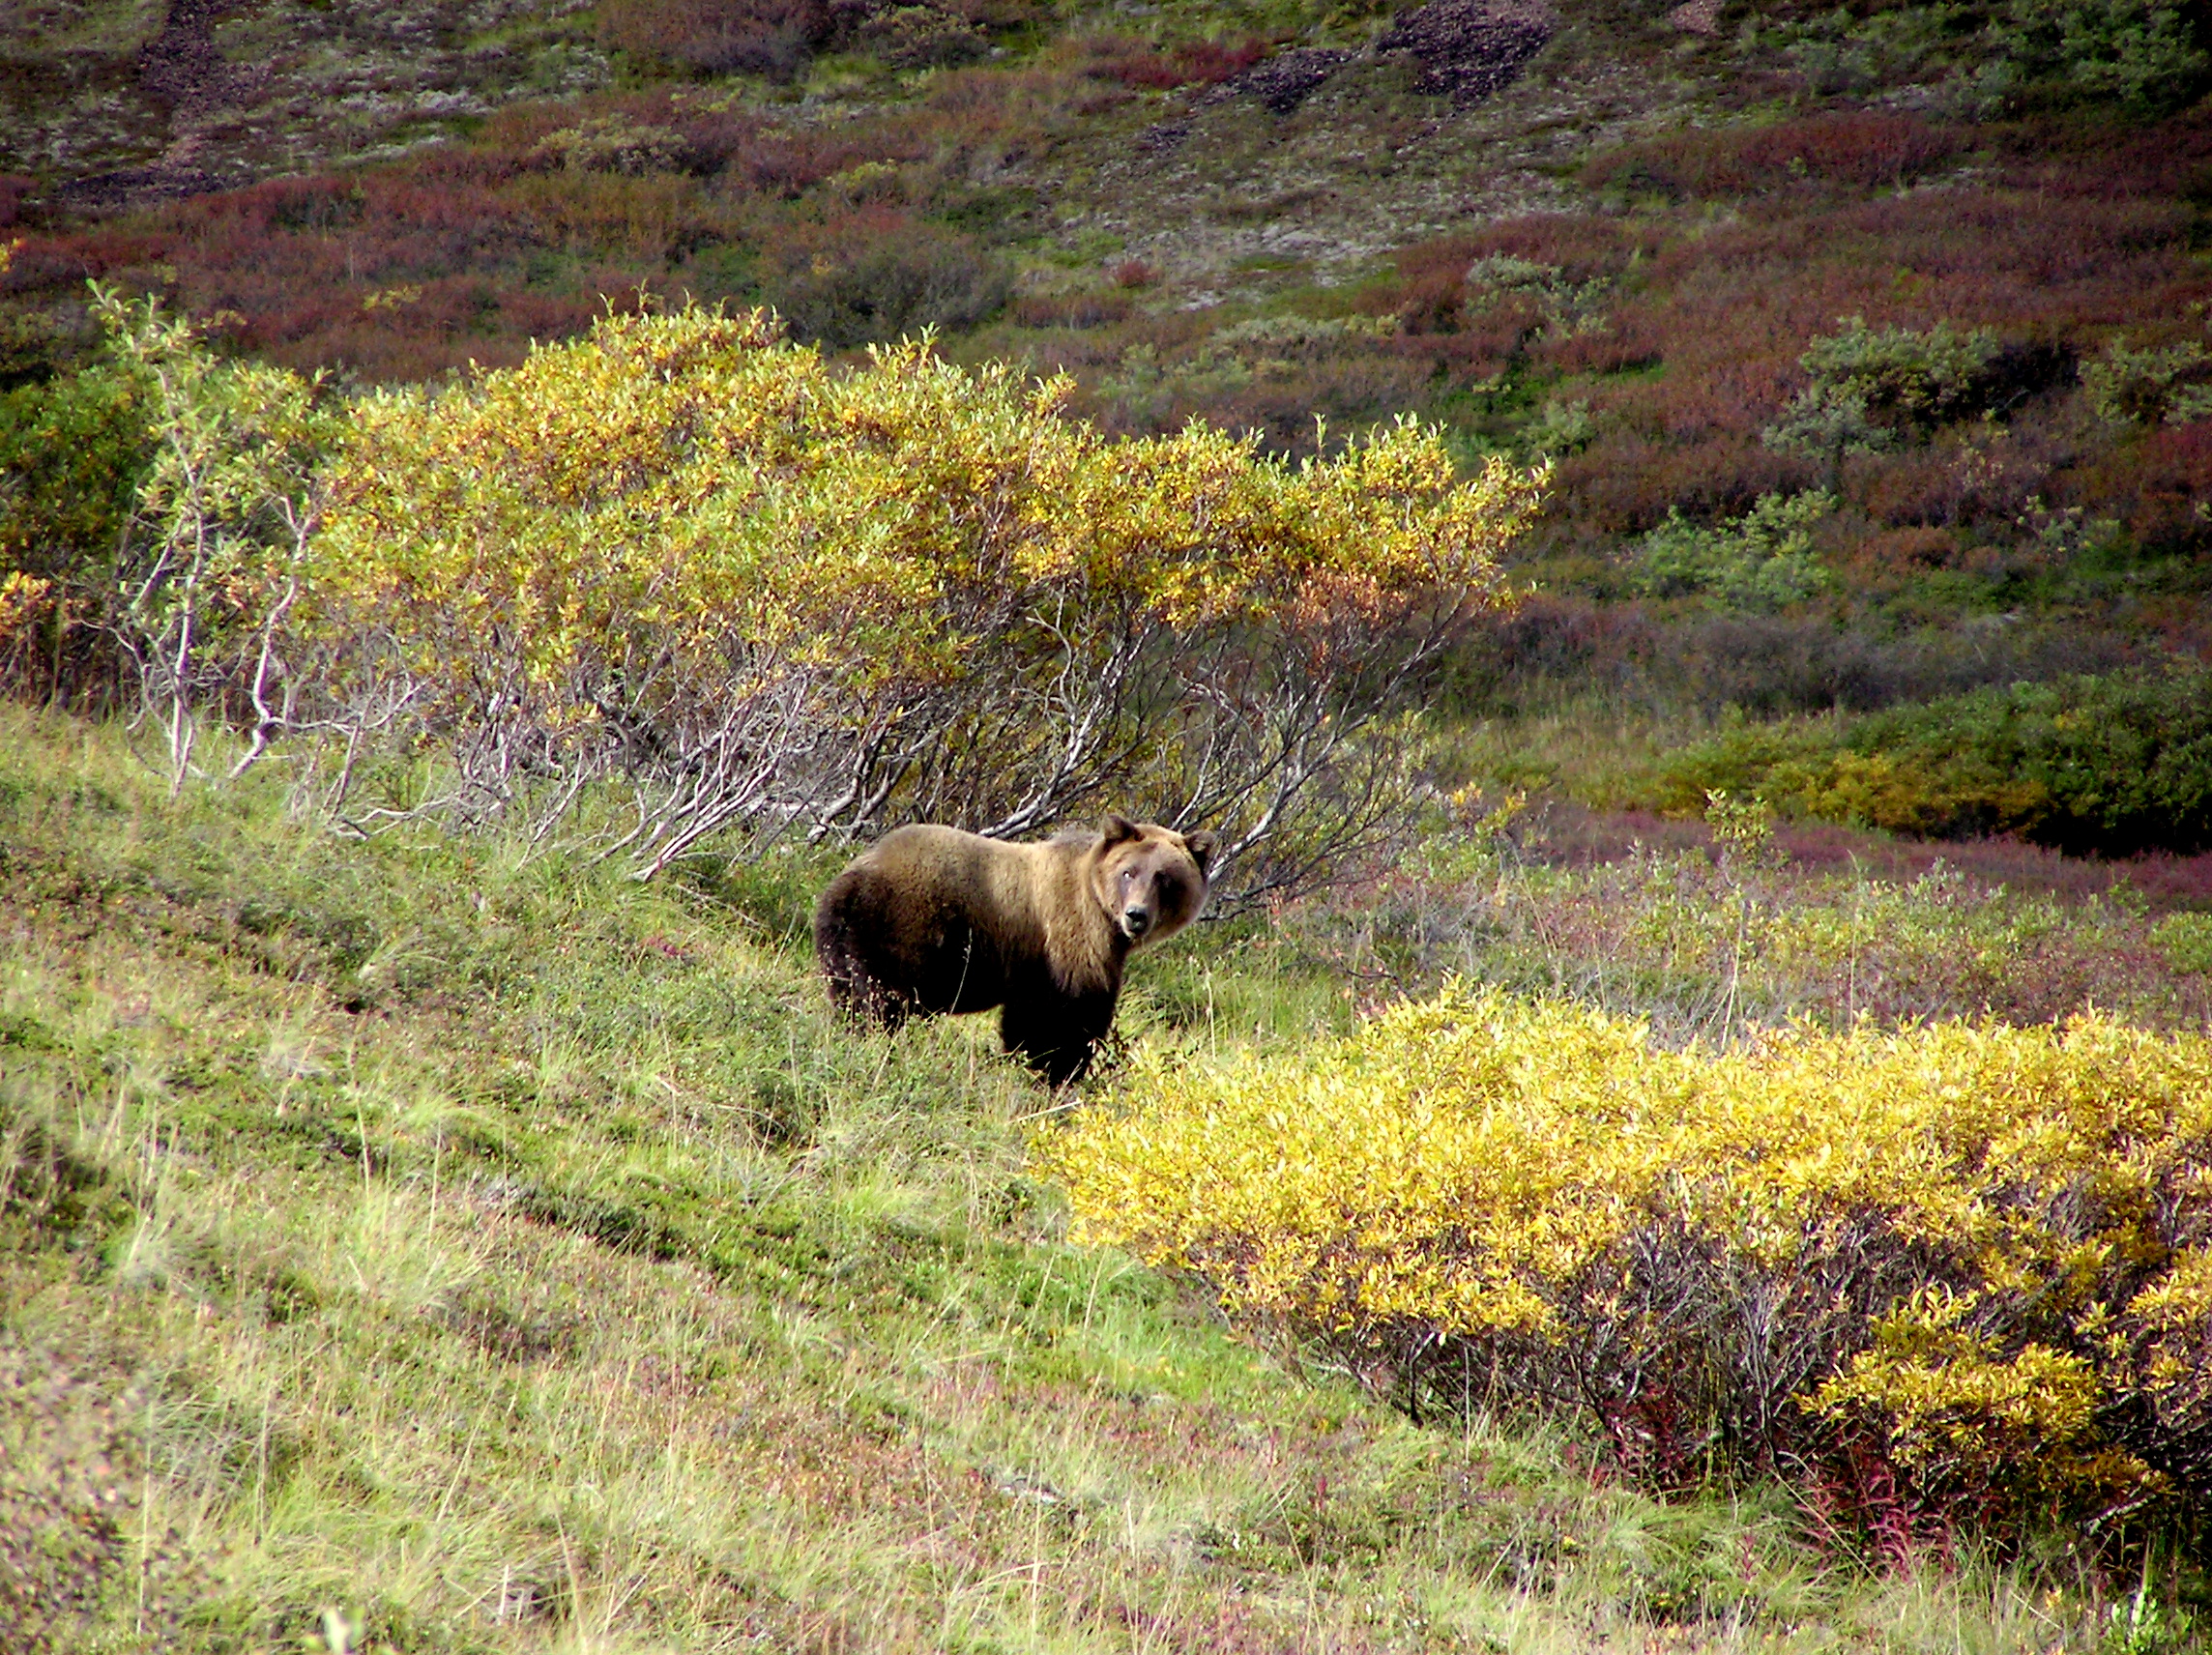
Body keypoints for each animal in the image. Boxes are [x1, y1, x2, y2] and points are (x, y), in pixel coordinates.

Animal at [823, 814, 1220, 1084]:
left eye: (1164, 879)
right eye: (1129, 872)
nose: (1136, 916)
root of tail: (849, 880)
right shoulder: (1066, 942)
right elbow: (1059, 1020)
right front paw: (1056, 1071)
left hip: (846, 945)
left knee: (851, 996)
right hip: (901, 930)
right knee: (881, 1002)